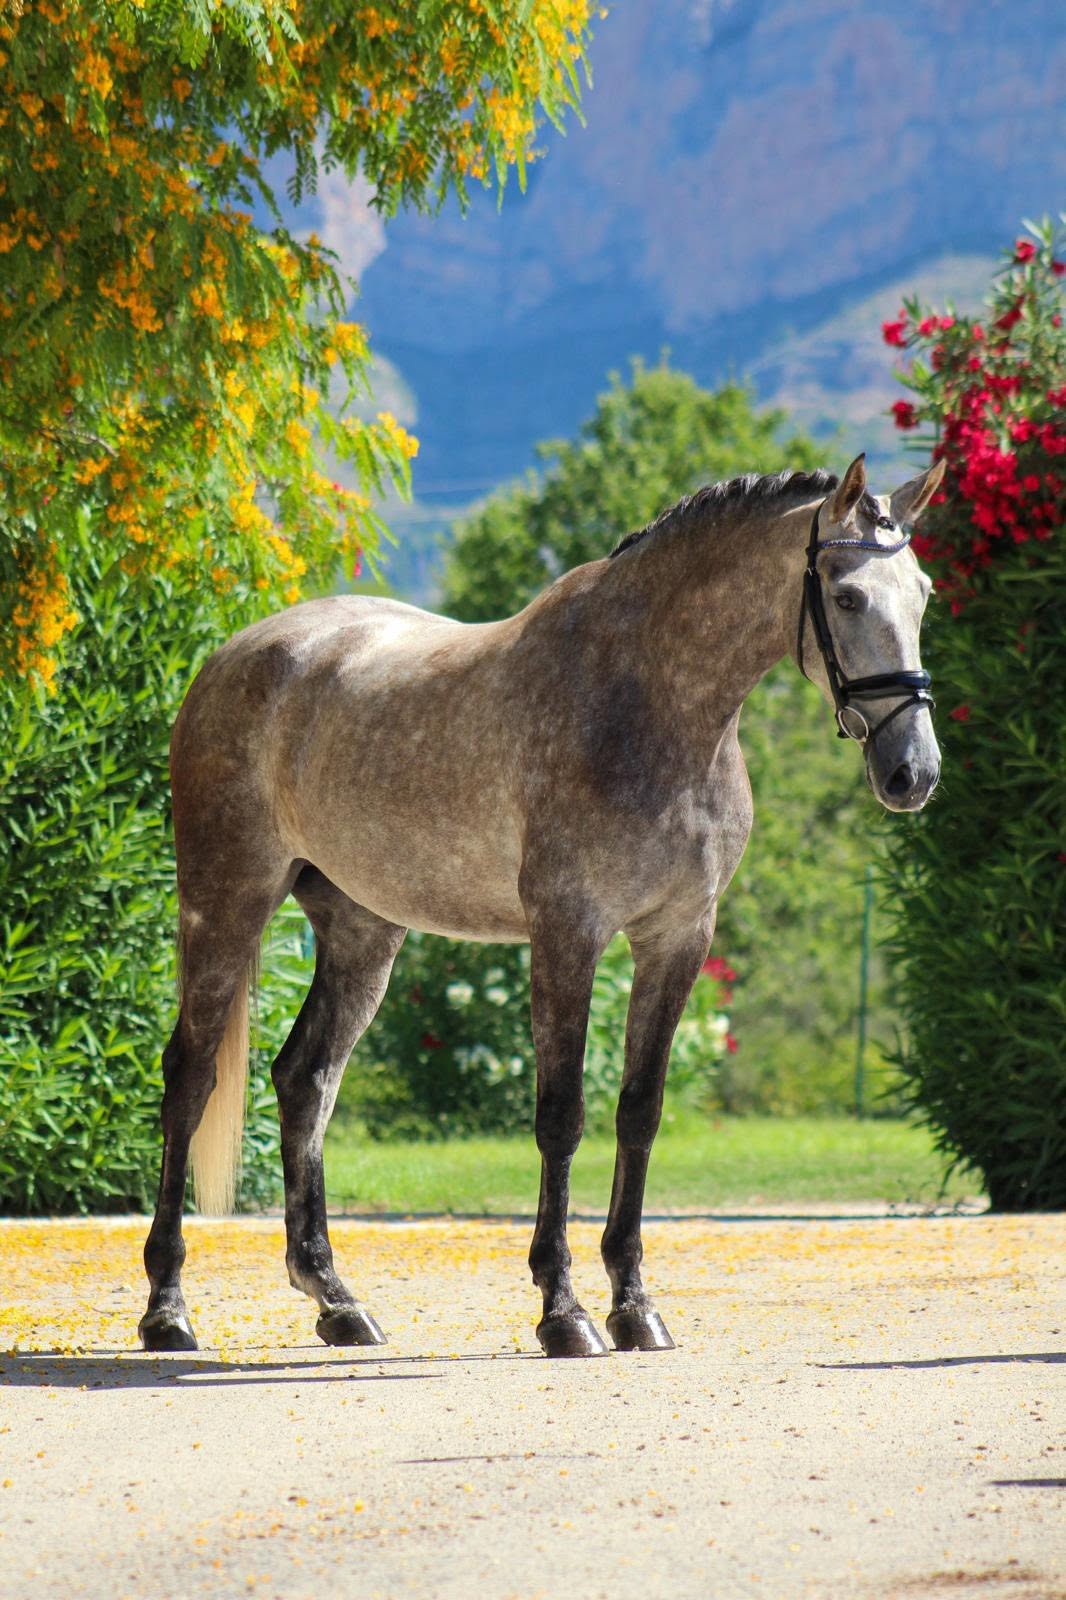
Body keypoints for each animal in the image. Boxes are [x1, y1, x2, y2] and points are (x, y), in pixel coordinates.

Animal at [139, 452, 944, 1360]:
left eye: (922, 593)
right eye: (846, 596)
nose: (912, 772)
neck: (649, 698)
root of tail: (233, 657)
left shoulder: (678, 937)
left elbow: (640, 1112)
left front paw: (635, 1306)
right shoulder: (568, 933)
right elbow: (561, 1116)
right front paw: (565, 1311)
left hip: (360, 931)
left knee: (306, 1080)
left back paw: (336, 1300)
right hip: (225, 900)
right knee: (190, 1078)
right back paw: (167, 1309)